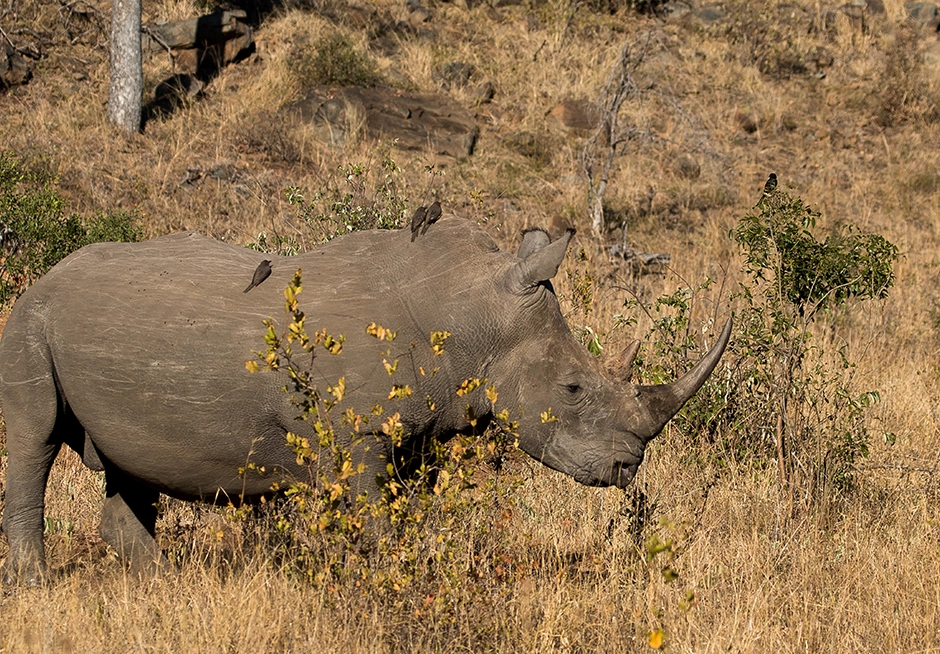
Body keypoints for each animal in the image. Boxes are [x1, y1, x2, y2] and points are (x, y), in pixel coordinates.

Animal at [0, 216, 730, 584]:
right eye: (573, 388)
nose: (627, 466)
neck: (469, 312)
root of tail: (45, 276)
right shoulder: (359, 437)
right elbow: (378, 526)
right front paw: (389, 589)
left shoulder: (420, 433)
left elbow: (409, 520)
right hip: (29, 317)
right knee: (34, 439)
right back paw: (37, 587)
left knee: (127, 467)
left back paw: (166, 588)